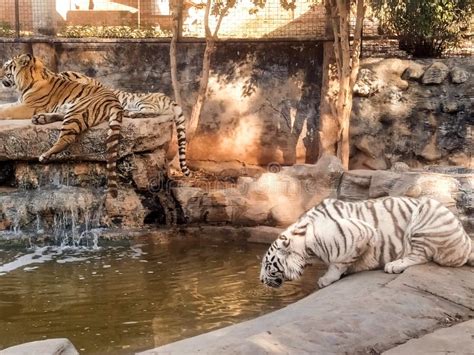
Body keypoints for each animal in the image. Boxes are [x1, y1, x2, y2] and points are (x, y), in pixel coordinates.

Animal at [262, 196, 472, 290]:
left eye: (267, 265)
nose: (261, 281)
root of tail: (467, 241)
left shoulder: (360, 232)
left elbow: (338, 262)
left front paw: (326, 279)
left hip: (428, 211)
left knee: (420, 255)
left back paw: (394, 265)